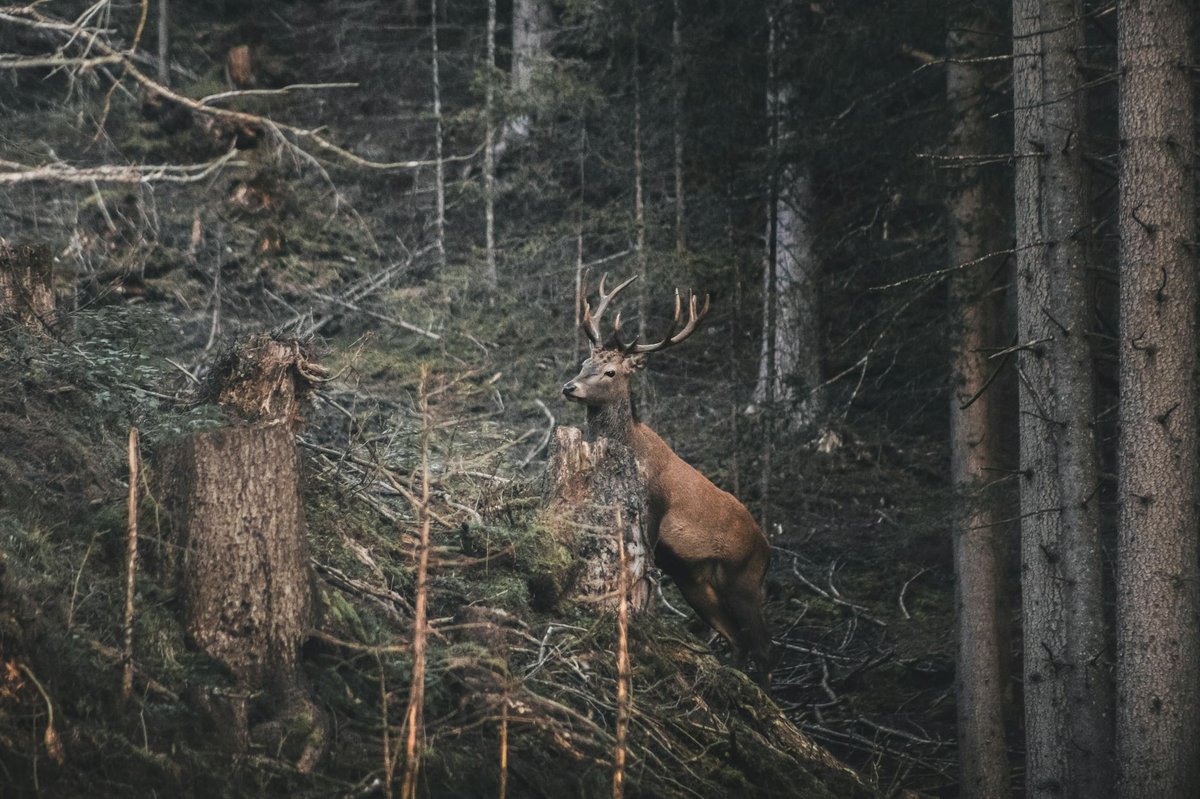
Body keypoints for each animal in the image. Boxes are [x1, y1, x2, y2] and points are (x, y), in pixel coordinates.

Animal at [561, 274, 774, 687]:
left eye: (611, 372)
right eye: (584, 362)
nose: (569, 387)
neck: (629, 447)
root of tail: (768, 549)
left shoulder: (653, 508)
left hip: (745, 579)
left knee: (764, 648)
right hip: (697, 581)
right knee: (736, 640)